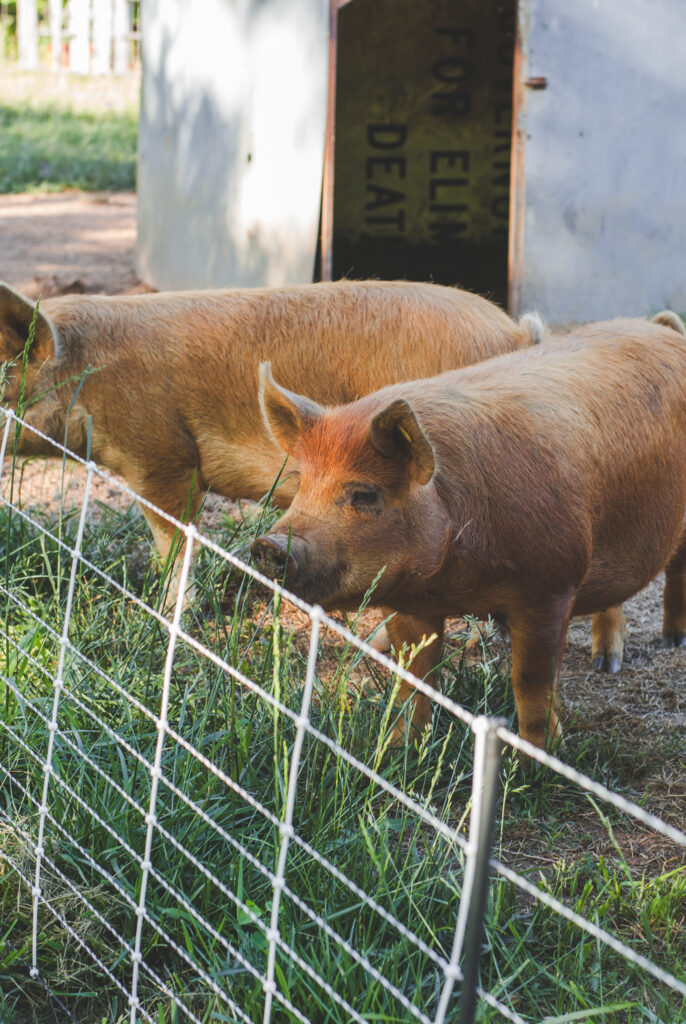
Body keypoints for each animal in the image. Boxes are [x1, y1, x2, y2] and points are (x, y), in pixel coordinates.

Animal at [252, 307, 686, 749]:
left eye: (364, 494)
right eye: (302, 483)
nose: (269, 544)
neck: (459, 582)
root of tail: (662, 328)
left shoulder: (551, 587)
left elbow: (531, 684)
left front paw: (537, 757)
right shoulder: (408, 601)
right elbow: (414, 679)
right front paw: (399, 749)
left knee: (676, 568)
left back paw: (670, 641)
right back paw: (606, 663)